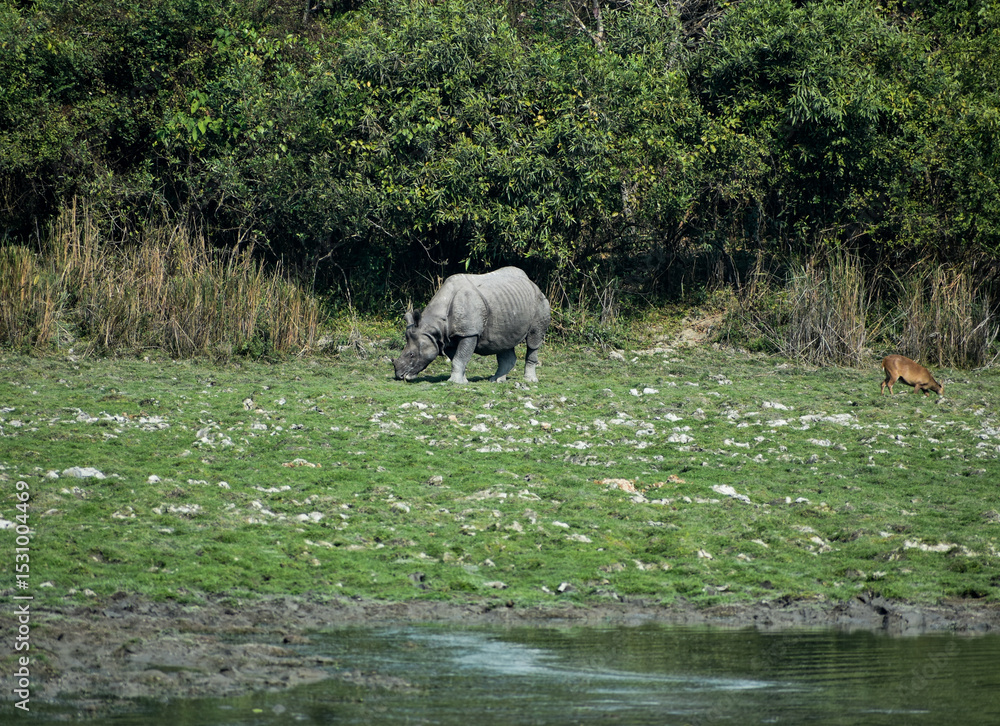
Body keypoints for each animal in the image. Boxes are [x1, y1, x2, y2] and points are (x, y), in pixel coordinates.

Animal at [393, 267, 551, 384]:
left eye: (412, 355)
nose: (399, 376)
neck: (434, 326)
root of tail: (533, 283)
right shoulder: (449, 337)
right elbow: (457, 358)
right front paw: (462, 381)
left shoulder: (469, 332)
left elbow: (459, 357)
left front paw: (454, 382)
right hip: (509, 304)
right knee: (504, 342)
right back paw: (496, 380)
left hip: (540, 302)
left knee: (534, 339)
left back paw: (530, 380)